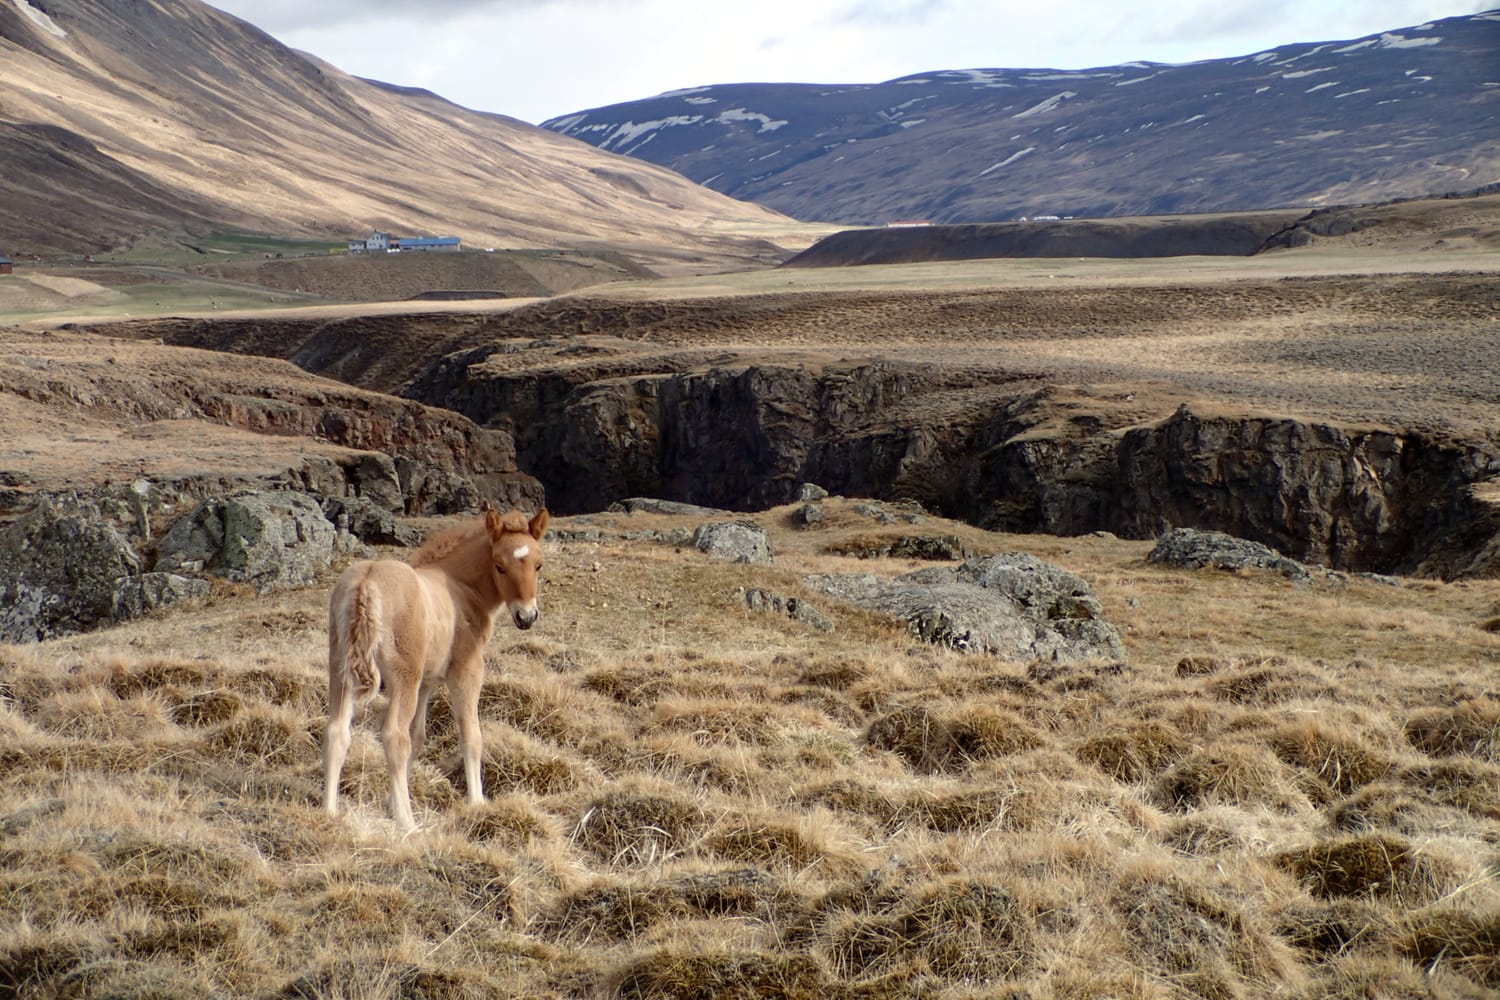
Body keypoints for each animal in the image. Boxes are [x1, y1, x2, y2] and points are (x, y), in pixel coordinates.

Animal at [323, 506, 548, 833]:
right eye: (499, 566)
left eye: (538, 565)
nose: (526, 616)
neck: (460, 588)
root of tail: (367, 582)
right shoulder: (466, 672)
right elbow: (470, 735)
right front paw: (477, 804)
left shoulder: (426, 683)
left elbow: (418, 737)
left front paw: (390, 802)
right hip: (402, 677)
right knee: (394, 737)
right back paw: (407, 823)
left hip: (340, 670)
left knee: (337, 732)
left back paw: (328, 814)